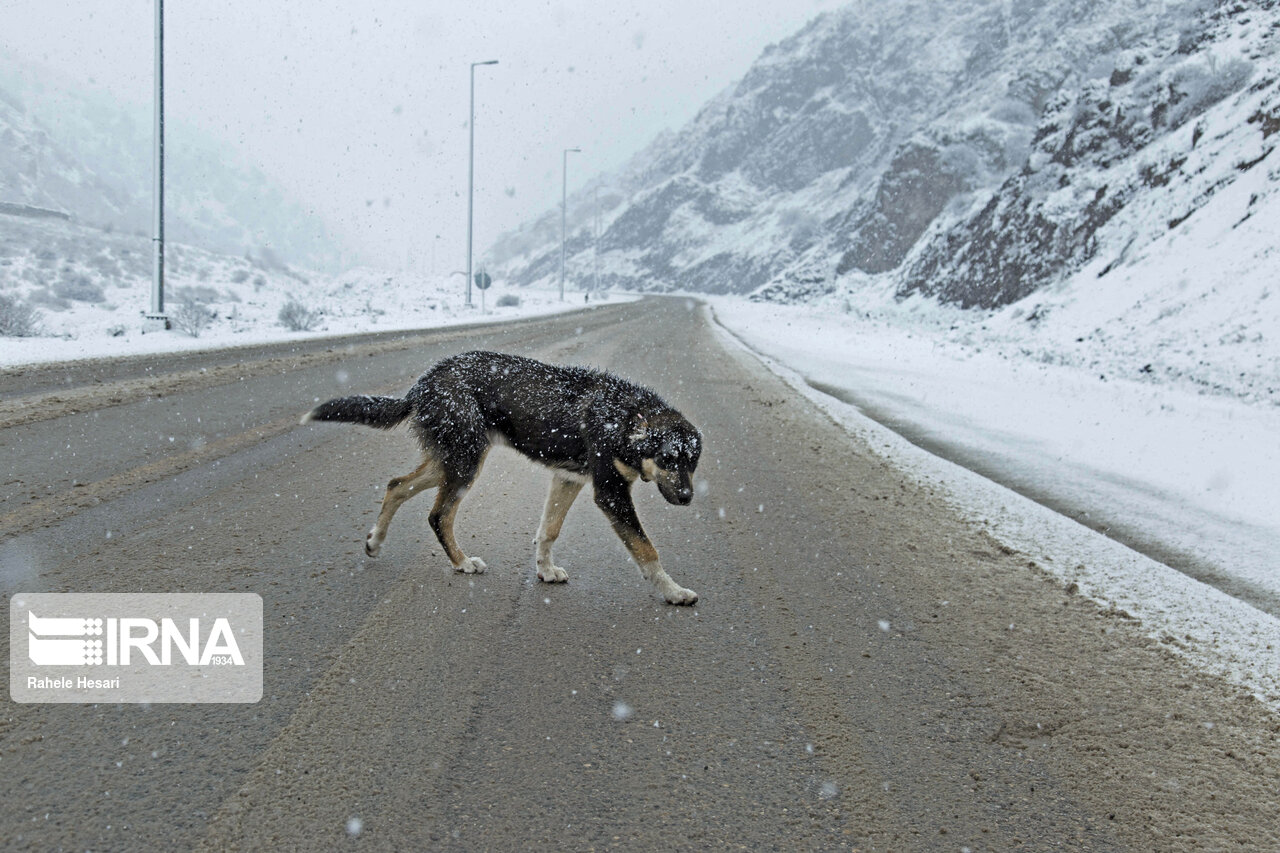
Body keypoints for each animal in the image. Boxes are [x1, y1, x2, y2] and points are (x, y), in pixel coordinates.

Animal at [302, 348, 701, 601]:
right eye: (668, 459)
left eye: (692, 463)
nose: (686, 498)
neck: (624, 417)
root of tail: (422, 384)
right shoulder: (611, 493)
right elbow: (647, 549)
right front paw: (673, 592)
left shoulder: (568, 479)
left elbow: (548, 531)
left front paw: (545, 570)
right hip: (465, 464)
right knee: (438, 515)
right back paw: (462, 563)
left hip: (449, 461)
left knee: (396, 486)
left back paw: (376, 541)